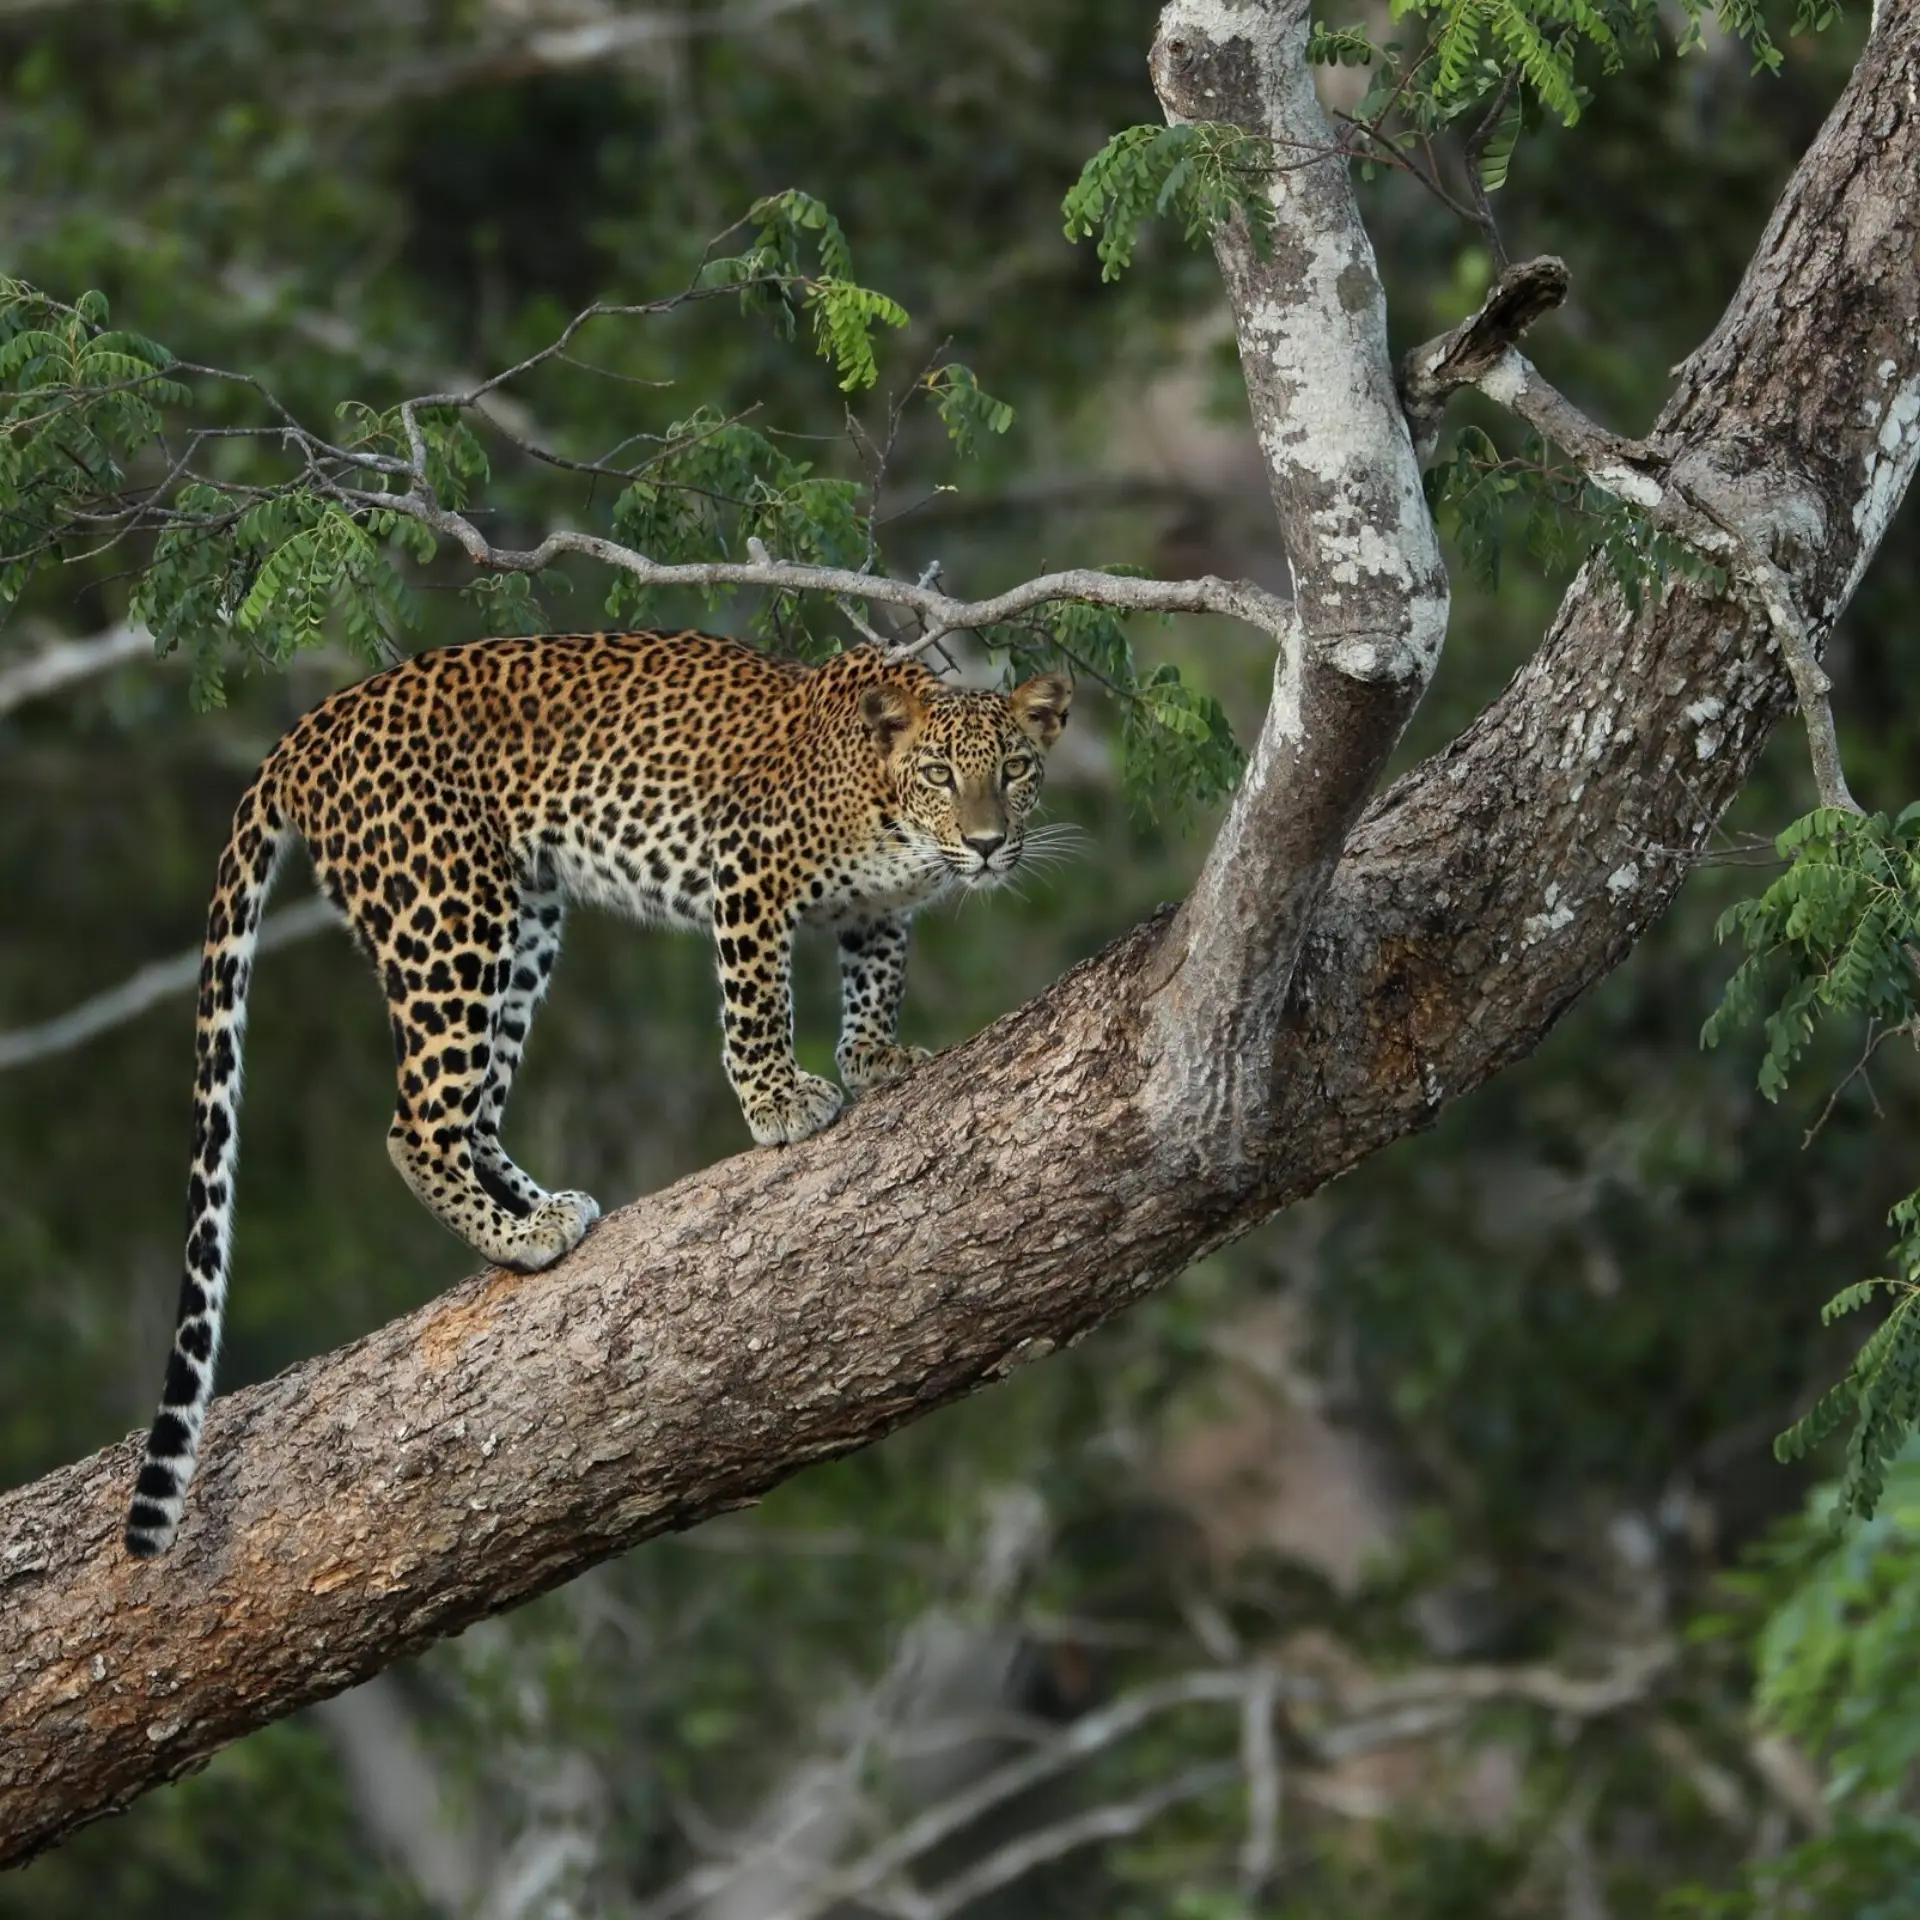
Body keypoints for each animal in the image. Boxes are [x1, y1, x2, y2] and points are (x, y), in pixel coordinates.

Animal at [122, 628, 1072, 1558]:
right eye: (939, 774)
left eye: (1016, 770)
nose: (988, 844)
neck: (888, 808)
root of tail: (311, 726)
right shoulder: (748, 866)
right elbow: (757, 1000)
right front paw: (777, 1102)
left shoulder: (873, 914)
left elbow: (878, 977)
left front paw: (875, 1057)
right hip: (448, 918)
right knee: (417, 1123)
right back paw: (519, 1238)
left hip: (526, 919)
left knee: (477, 1111)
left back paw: (544, 1206)